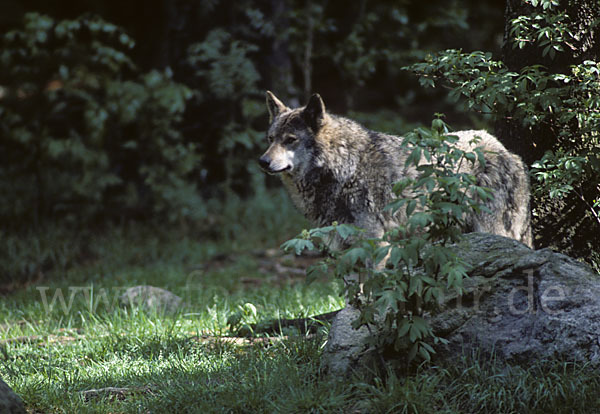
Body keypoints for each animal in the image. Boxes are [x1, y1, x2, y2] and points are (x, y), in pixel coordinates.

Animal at [260, 91, 532, 247]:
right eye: (270, 139)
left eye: (290, 140)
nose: (262, 161)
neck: (344, 168)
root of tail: (508, 152)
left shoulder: (374, 242)